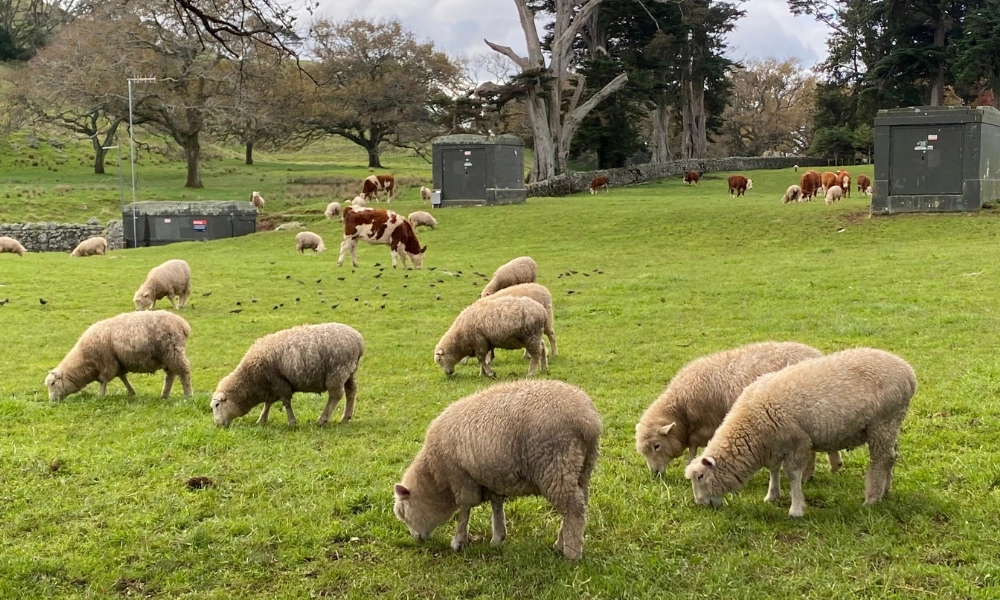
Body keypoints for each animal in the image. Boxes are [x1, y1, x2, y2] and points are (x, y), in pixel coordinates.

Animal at [43, 312, 191, 400]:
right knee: (171, 374)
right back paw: (164, 395)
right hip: (169, 355)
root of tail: (182, 323)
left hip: (173, 352)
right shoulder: (117, 363)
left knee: (184, 372)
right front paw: (131, 392)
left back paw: (188, 395)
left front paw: (100, 396)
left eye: (53, 383)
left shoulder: (107, 364)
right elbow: (123, 377)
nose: (52, 402)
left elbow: (104, 381)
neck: (84, 359)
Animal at [210, 324, 364, 426]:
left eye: (217, 405)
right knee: (351, 391)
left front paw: (291, 421)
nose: (217, 425)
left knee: (335, 396)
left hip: (337, 372)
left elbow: (285, 403)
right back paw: (345, 417)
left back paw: (322, 420)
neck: (250, 379)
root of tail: (358, 340)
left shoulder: (279, 382)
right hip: (350, 372)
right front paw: (261, 420)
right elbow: (268, 404)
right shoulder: (270, 386)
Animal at [392, 382, 600, 560]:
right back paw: (561, 544)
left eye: (402, 512)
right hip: (581, 468)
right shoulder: (491, 478)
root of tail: (588, 420)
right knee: (579, 503)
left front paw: (458, 541)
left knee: (573, 507)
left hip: (555, 464)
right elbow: (496, 504)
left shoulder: (460, 477)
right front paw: (498, 538)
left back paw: (571, 553)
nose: (417, 540)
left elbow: (465, 508)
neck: (435, 477)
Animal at [636, 342, 840, 478]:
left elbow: (695, 448)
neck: (681, 408)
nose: (654, 474)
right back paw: (834, 465)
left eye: (656, 445)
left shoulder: (708, 424)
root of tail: (819, 355)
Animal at [688, 350, 916, 516]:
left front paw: (796, 509)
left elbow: (793, 474)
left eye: (700, 476)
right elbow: (774, 470)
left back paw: (872, 498)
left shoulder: (797, 442)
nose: (700, 504)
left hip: (883, 422)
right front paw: (772, 495)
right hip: (892, 424)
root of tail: (908, 372)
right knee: (891, 456)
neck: (750, 424)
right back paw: (886, 490)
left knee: (881, 459)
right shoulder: (773, 445)